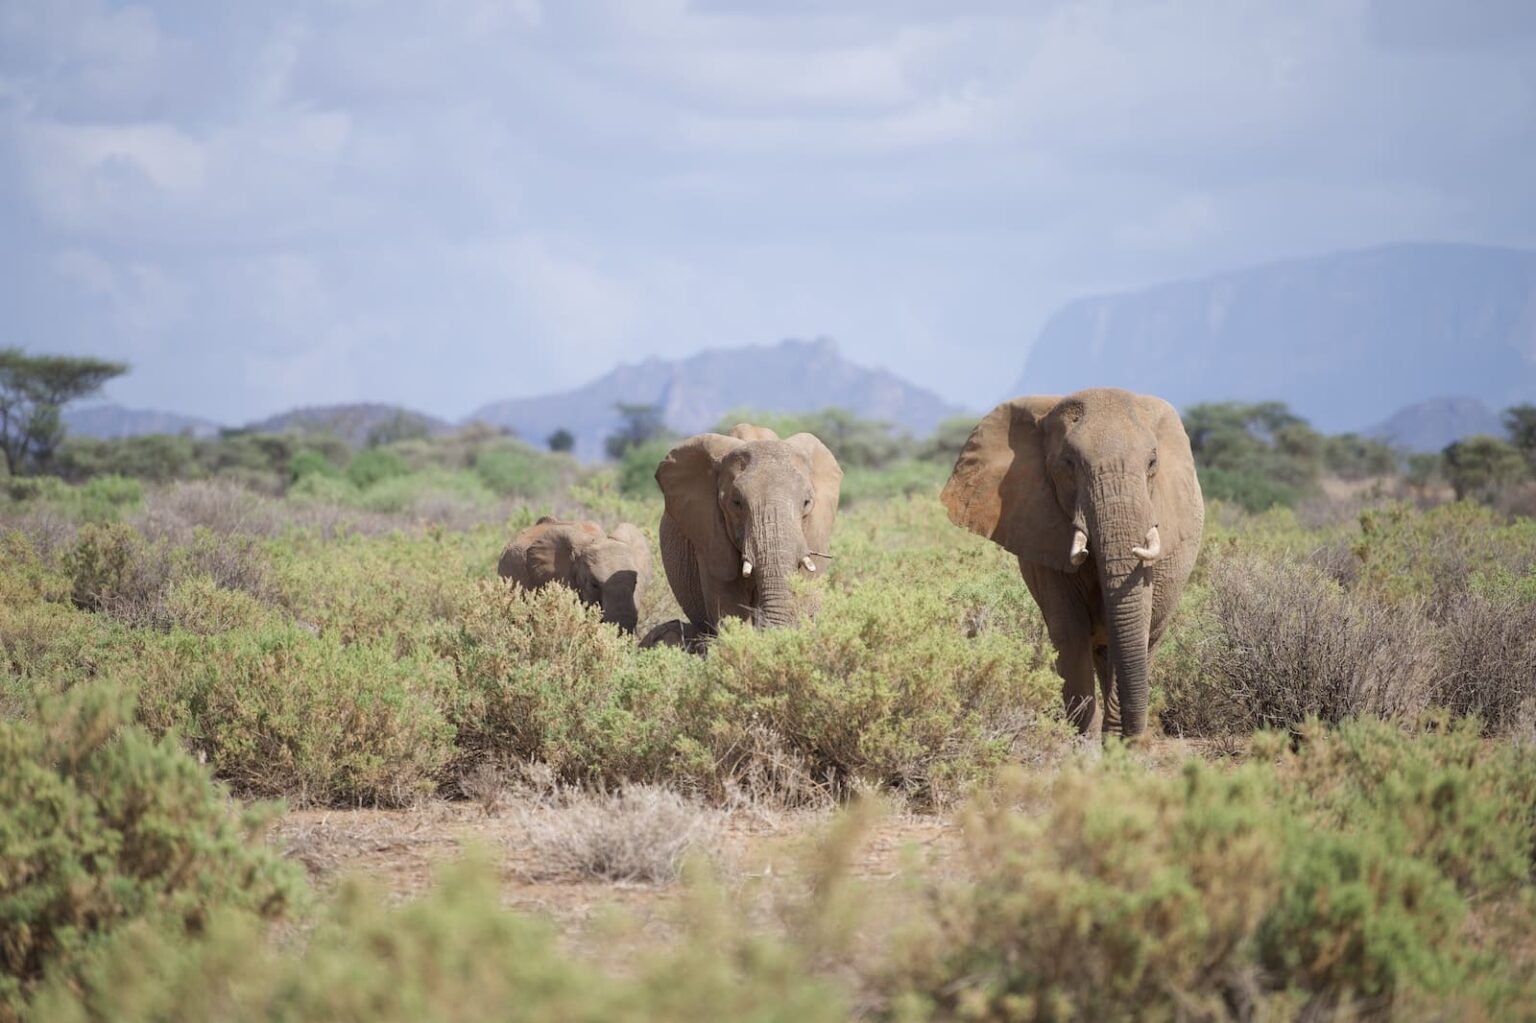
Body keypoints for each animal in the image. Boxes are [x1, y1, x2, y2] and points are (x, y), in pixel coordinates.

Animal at [942, 388, 1204, 740]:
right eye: (1068, 463)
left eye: (1152, 463)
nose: (1135, 738)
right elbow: (1069, 631)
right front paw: (1088, 744)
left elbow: (1135, 624)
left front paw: (1114, 744)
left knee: (1143, 641)